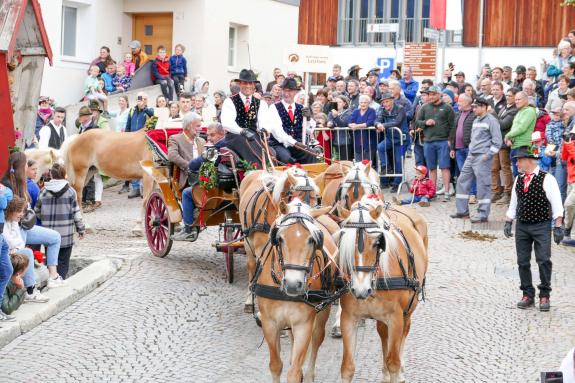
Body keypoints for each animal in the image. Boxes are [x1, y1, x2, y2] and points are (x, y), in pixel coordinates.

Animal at [237, 166, 320, 314]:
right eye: (297, 196)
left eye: (315, 199)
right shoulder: (262, 247)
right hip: (247, 240)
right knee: (251, 266)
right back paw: (249, 300)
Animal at [255, 200, 338, 383]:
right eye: (280, 238)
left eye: (312, 240)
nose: (293, 284)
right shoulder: (270, 323)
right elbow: (275, 365)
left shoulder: (303, 324)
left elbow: (293, 373)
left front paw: (298, 372)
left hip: (323, 310)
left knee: (317, 339)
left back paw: (308, 374)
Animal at [336, 196, 430, 382]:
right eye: (344, 243)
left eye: (377, 243)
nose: (360, 290)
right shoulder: (348, 318)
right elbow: (347, 368)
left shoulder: (395, 318)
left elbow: (393, 362)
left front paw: (396, 371)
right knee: (383, 333)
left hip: (408, 310)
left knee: (404, 332)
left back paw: (401, 370)